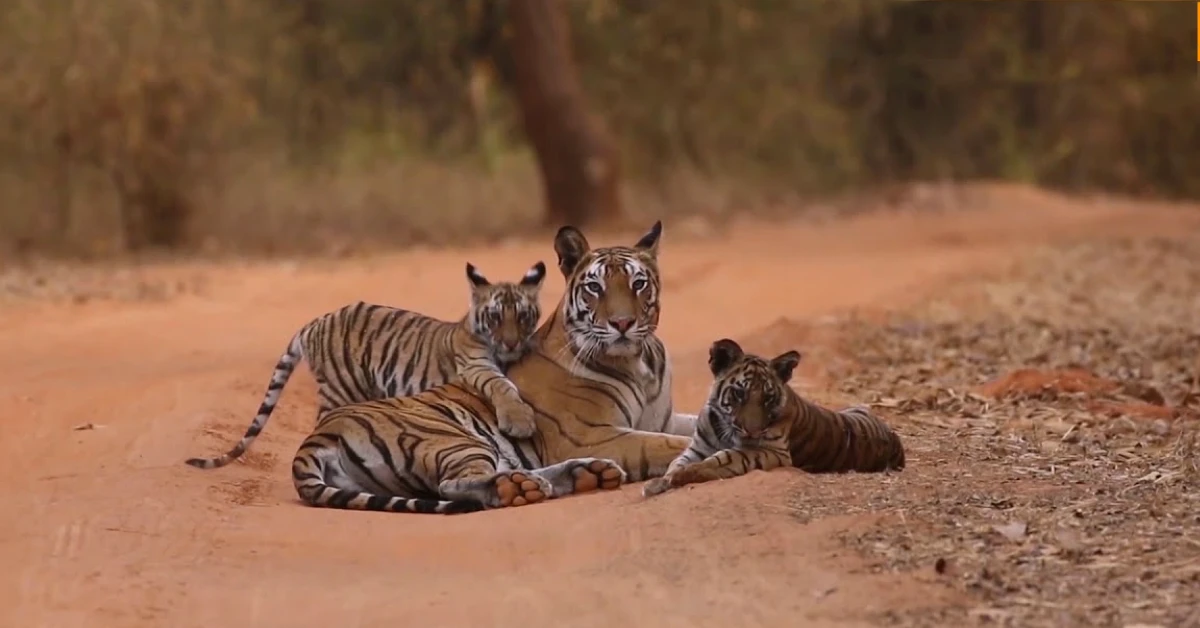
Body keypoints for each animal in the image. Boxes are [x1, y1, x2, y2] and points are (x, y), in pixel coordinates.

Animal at [184, 260, 547, 470]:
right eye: (495, 317)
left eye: (523, 316)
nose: (511, 343)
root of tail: (314, 323)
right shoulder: (475, 367)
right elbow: (501, 385)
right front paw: (520, 422)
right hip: (340, 389)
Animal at [288, 220, 696, 516]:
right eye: (594, 287)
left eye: (638, 283)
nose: (623, 323)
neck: (640, 363)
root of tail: (318, 435)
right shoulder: (592, 435)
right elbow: (666, 444)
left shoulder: (660, 418)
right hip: (450, 439)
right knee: (458, 484)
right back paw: (527, 485)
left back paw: (586, 474)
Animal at [643, 336, 902, 499]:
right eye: (739, 393)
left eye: (768, 398)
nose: (753, 431)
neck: (723, 428)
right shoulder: (697, 446)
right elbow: (677, 462)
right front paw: (658, 483)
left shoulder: (772, 451)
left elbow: (723, 458)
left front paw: (685, 475)